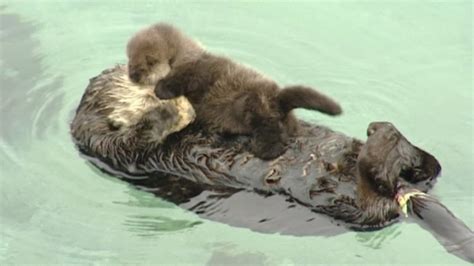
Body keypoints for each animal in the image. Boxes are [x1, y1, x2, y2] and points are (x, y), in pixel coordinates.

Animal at [1, 1, 472, 264]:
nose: (167, 92)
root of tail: (404, 194)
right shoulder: (112, 147)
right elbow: (133, 136)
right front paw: (171, 113)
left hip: (393, 181)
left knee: (428, 165)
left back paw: (388, 137)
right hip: (352, 207)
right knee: (378, 190)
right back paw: (383, 145)